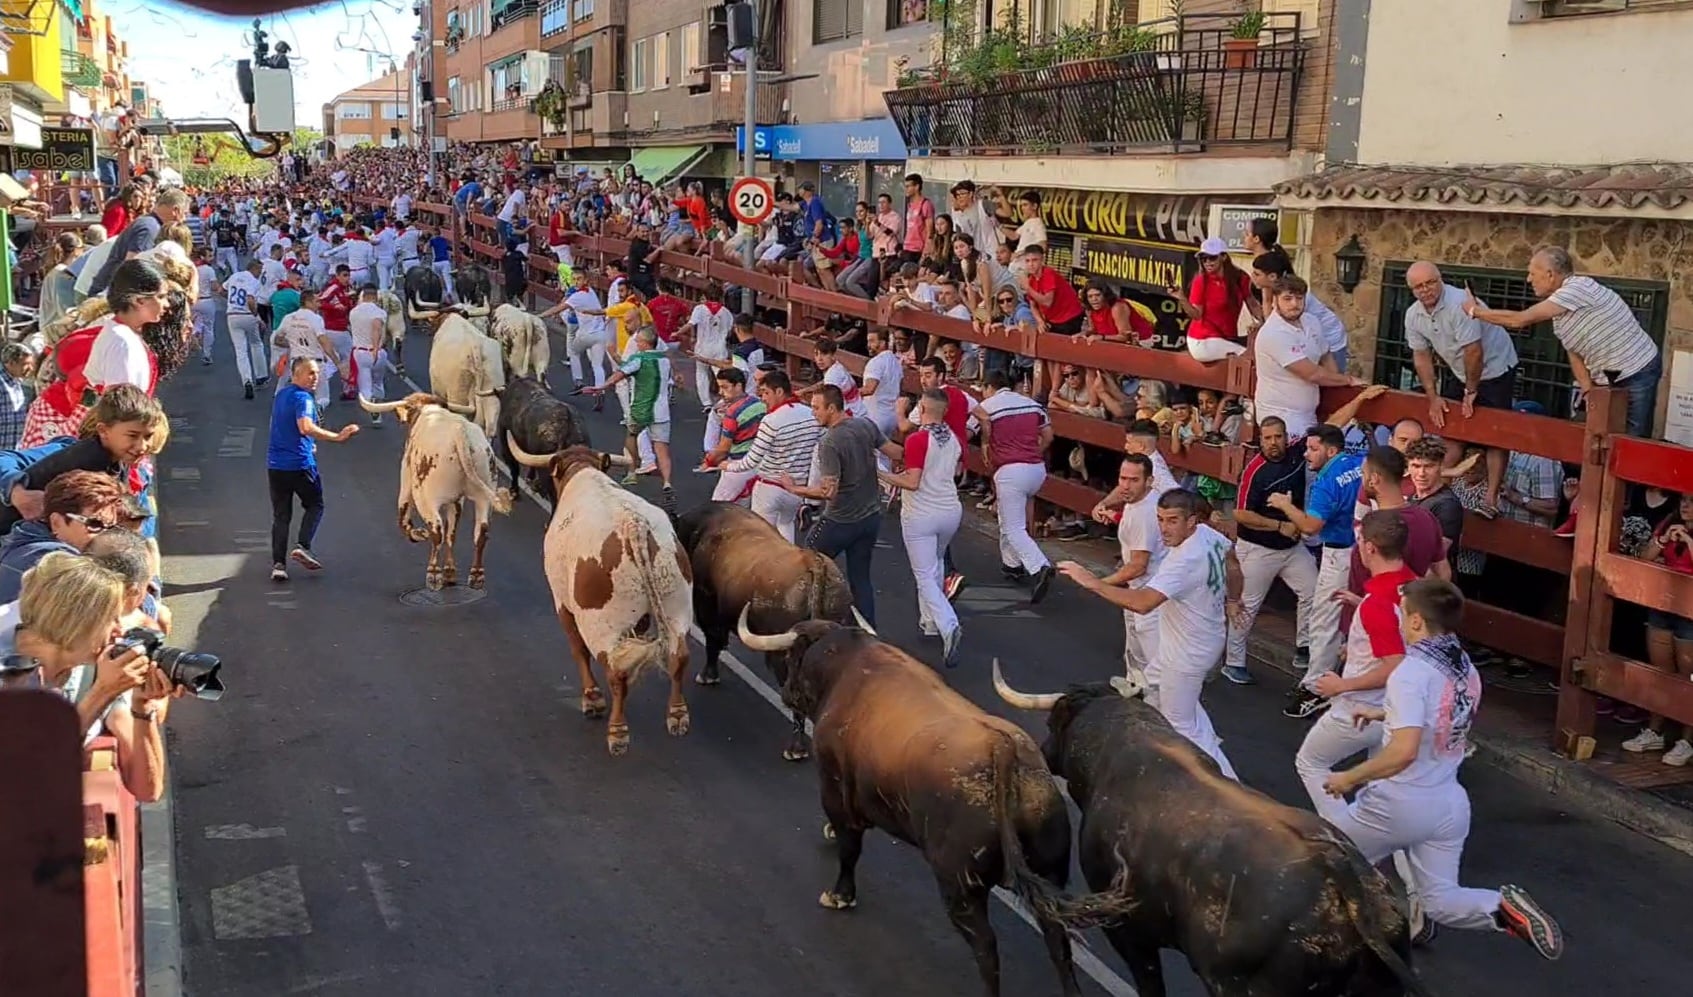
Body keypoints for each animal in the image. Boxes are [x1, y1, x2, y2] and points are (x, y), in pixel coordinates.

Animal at [358, 389, 511, 592]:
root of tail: (460, 432)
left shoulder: (406, 480)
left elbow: (404, 518)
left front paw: (418, 534)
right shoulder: (456, 501)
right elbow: (452, 532)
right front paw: (450, 571)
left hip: (426, 498)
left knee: (437, 531)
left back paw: (433, 574)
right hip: (484, 496)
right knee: (480, 532)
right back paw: (476, 575)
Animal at [501, 436, 694, 754]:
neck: (583, 471)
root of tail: (634, 526)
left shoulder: (562, 603)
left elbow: (577, 649)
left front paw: (592, 698)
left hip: (601, 623)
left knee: (616, 671)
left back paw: (617, 731)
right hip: (675, 607)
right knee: (678, 657)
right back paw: (677, 714)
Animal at [734, 619, 1130, 988]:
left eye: (792, 657)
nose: (787, 693)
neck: (846, 665)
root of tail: (1003, 750)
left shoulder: (835, 789)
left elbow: (849, 849)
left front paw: (840, 895)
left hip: (960, 887)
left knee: (987, 949)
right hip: (1050, 870)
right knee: (1058, 943)